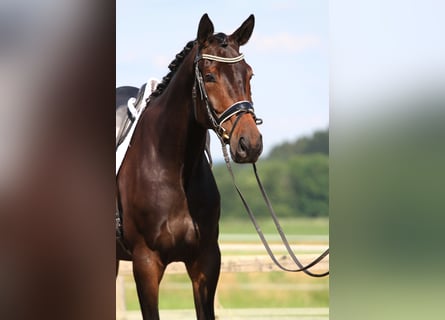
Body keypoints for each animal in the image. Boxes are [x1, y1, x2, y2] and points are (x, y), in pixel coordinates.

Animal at [116, 13, 262, 318]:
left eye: (249, 74)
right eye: (209, 76)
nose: (250, 143)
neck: (172, 169)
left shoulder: (206, 261)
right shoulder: (145, 263)